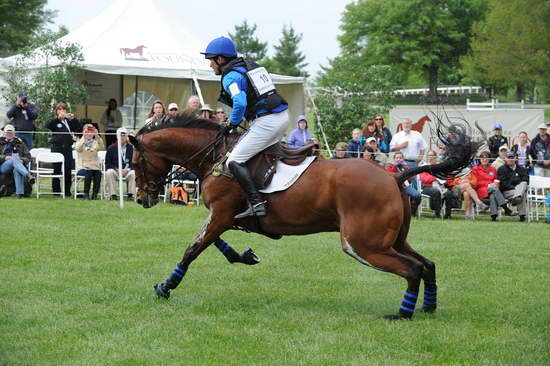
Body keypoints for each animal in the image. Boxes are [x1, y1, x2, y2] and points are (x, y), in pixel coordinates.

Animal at [129, 114, 484, 320]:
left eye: (135, 162)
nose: (142, 199)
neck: (217, 155)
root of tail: (393, 176)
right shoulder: (224, 217)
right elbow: (214, 244)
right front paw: (246, 256)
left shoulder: (221, 214)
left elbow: (192, 249)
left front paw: (166, 287)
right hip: (392, 240)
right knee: (427, 264)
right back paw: (427, 307)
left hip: (362, 244)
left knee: (412, 269)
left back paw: (402, 314)